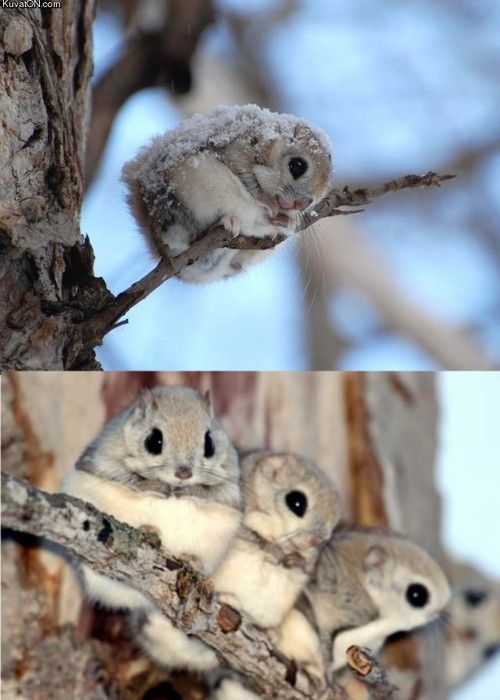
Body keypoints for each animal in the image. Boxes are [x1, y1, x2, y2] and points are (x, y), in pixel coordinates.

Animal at [121, 103, 332, 282]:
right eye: (297, 166)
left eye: (314, 200)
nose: (300, 205)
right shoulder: (237, 150)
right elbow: (248, 181)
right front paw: (268, 204)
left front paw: (290, 220)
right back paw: (225, 222)